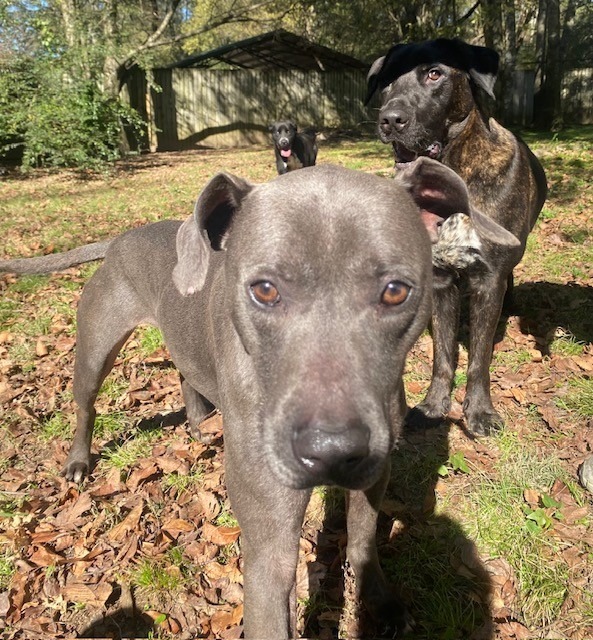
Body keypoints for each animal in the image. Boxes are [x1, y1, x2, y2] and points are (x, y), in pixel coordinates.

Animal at [364, 38, 548, 436]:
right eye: (386, 81)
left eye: (435, 73)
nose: (390, 119)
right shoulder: (440, 281)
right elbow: (443, 354)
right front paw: (434, 406)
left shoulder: (489, 279)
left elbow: (479, 358)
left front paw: (479, 411)